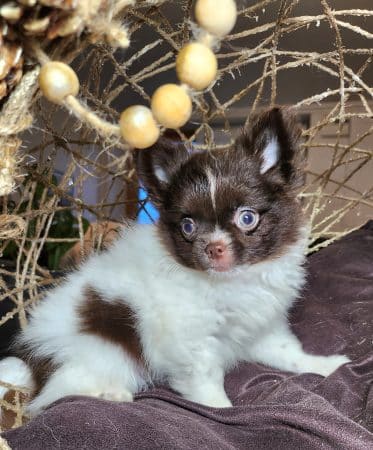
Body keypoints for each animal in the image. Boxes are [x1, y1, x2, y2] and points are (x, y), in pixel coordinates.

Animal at [0, 107, 348, 416]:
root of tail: (32, 361)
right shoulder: (192, 340)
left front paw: (324, 366)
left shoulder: (261, 326)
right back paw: (111, 394)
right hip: (107, 349)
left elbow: (289, 353)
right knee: (55, 396)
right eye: (188, 227)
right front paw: (221, 411)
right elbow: (207, 382)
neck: (231, 281)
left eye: (247, 218)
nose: (213, 247)